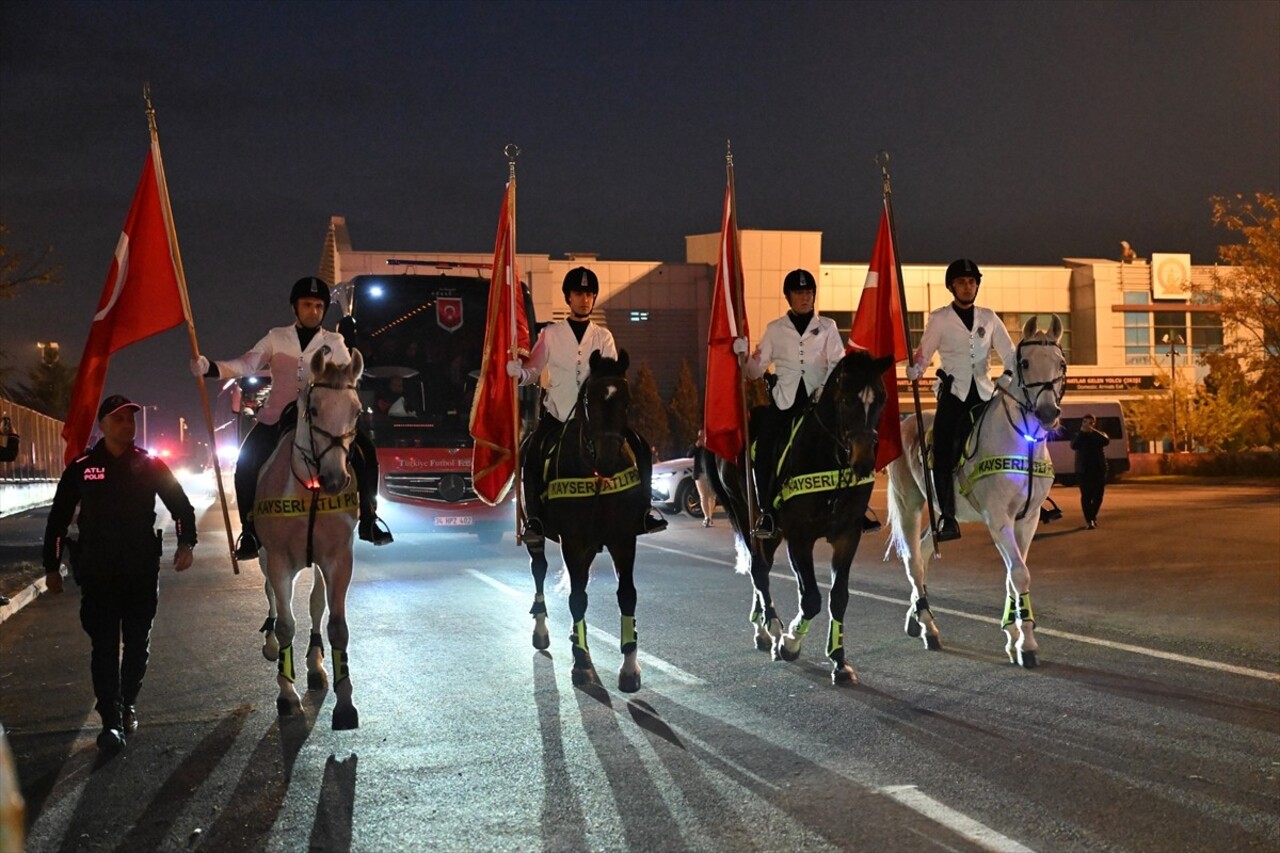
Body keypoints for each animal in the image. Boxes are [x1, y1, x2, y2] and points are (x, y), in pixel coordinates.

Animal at [254, 348, 363, 727]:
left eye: (357, 411)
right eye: (313, 410)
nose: (335, 479)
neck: (310, 490)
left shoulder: (338, 559)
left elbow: (336, 625)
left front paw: (344, 702)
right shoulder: (278, 560)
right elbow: (287, 623)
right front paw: (286, 695)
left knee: (316, 603)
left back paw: (315, 667)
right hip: (264, 556)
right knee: (271, 595)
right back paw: (271, 643)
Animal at [524, 348, 650, 686]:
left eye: (627, 402)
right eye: (589, 401)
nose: (607, 459)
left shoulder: (624, 539)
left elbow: (627, 595)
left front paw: (629, 665)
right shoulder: (574, 542)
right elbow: (577, 598)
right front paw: (581, 661)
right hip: (536, 535)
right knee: (539, 569)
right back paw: (541, 630)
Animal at [706, 348, 896, 681]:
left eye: (881, 399)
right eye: (846, 400)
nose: (863, 463)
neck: (829, 459)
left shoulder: (847, 536)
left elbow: (838, 597)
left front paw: (839, 661)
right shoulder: (799, 538)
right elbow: (811, 598)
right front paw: (790, 642)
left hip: (769, 532)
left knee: (763, 567)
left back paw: (762, 626)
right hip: (745, 513)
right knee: (758, 569)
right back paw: (770, 628)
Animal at [885, 312, 1064, 666]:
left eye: (1061, 364)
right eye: (1025, 362)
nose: (1048, 413)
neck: (1023, 441)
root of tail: (908, 420)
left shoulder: (1028, 519)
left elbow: (1013, 575)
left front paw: (1013, 634)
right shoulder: (998, 519)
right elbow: (1019, 574)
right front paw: (1026, 645)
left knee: (925, 551)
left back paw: (916, 616)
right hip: (908, 504)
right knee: (914, 560)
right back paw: (927, 626)